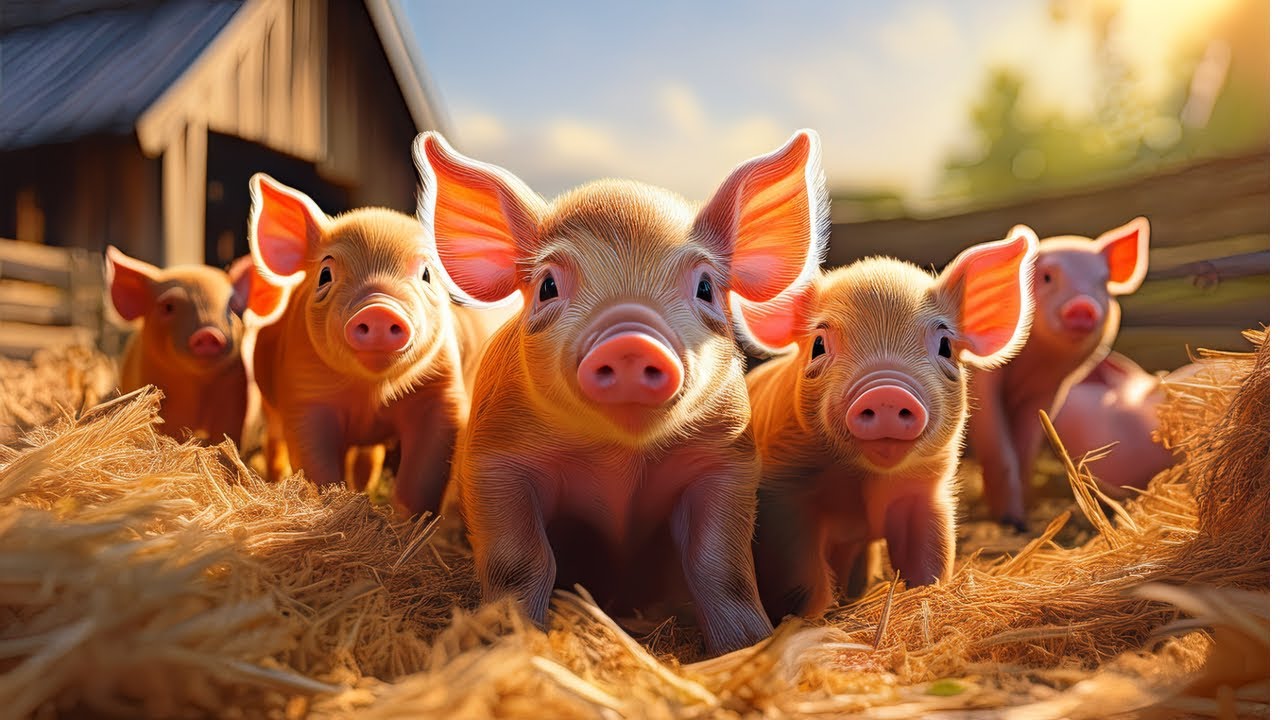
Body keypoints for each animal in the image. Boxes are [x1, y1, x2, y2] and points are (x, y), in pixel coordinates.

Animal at [105, 247, 255, 445]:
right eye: (168, 306)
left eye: (232, 307)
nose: (208, 333)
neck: (196, 385)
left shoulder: (233, 397)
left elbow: (225, 435)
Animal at [240, 174, 514, 515]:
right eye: (325, 274)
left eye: (426, 274)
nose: (379, 309)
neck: (369, 393)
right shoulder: (303, 395)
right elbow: (318, 466)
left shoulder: (441, 394)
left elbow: (421, 479)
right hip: (270, 407)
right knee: (275, 443)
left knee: (367, 459)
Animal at [413, 129, 828, 655]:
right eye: (547, 285)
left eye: (706, 287)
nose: (631, 341)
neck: (619, 460)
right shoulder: (493, 459)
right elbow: (522, 561)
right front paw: (508, 640)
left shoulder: (726, 461)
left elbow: (721, 568)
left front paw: (747, 644)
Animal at [738, 230, 1038, 621]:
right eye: (818, 344)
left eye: (945, 345)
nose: (886, 393)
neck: (865, 485)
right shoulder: (783, 494)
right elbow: (801, 583)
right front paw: (806, 621)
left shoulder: (926, 493)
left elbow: (929, 561)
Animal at [968, 218, 1150, 530]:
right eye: (1047, 277)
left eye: (1102, 281)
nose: (1083, 306)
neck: (1033, 365)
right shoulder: (983, 381)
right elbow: (1000, 453)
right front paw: (1011, 523)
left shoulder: (1046, 391)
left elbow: (1024, 451)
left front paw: (1024, 518)